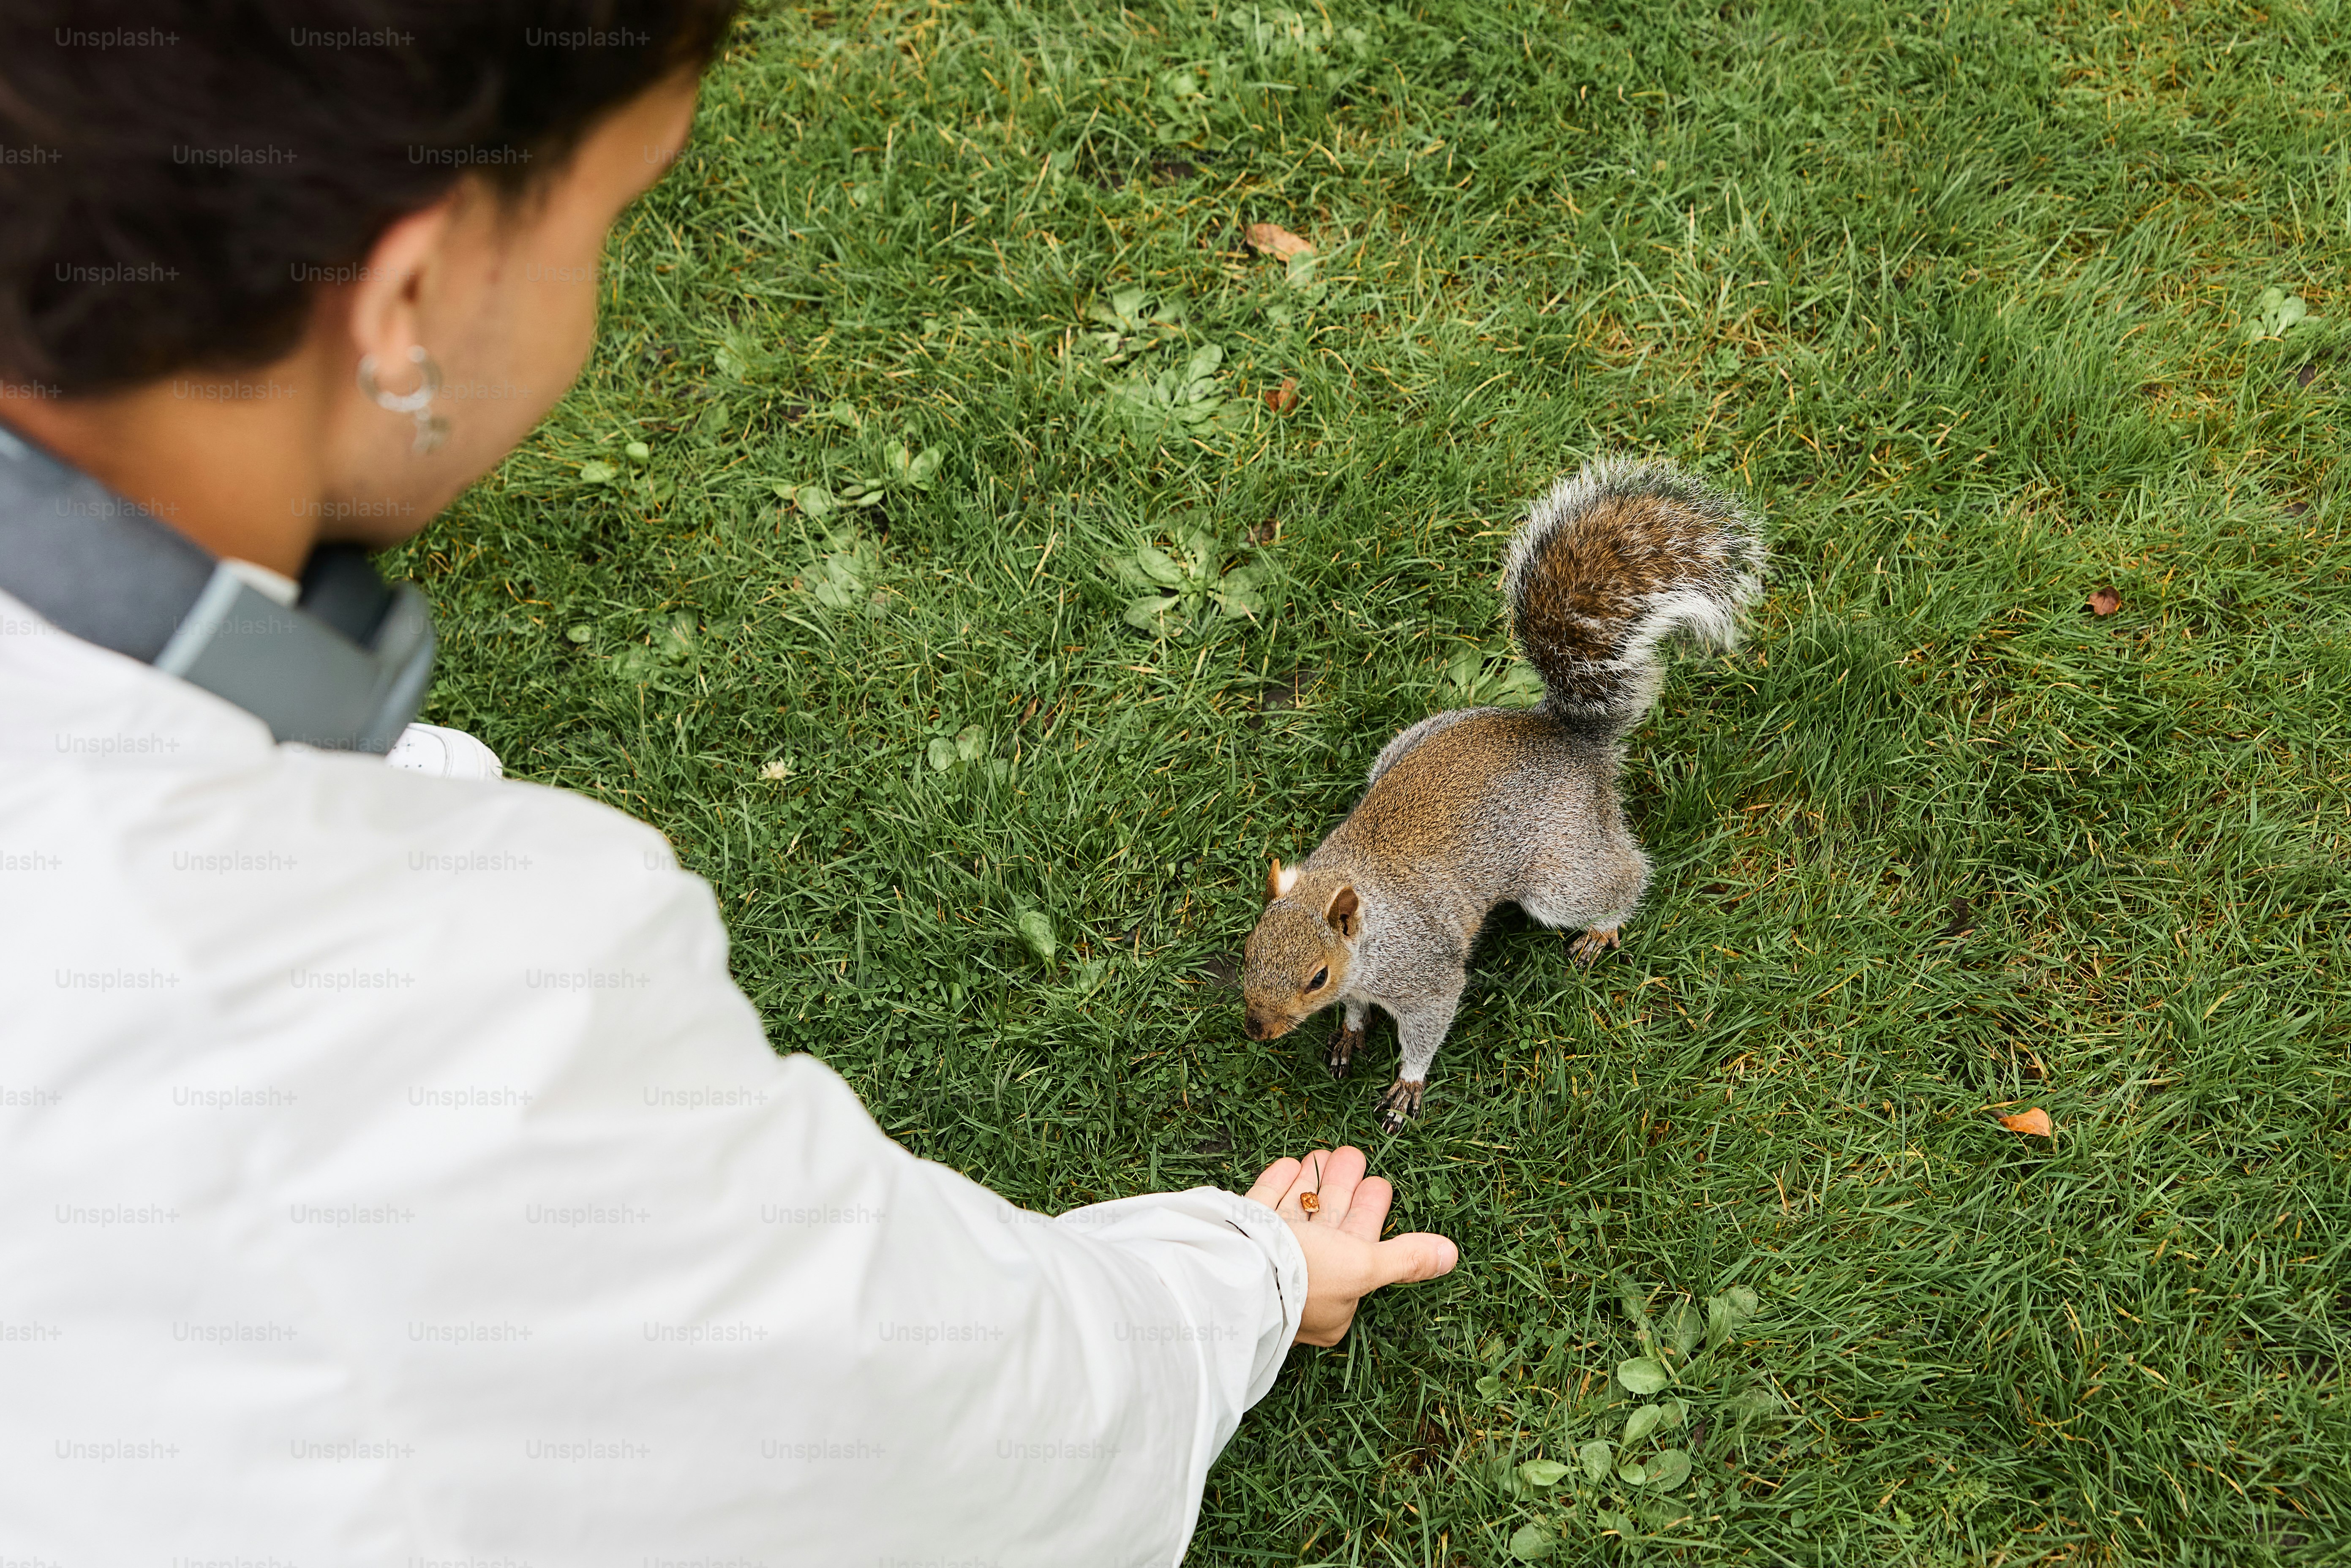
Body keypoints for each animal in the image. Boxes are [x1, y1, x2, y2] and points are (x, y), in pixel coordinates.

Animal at [1240, 457, 1765, 1131]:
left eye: (1316, 977)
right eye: (1250, 950)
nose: (1257, 1029)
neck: (1366, 924)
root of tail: (1566, 736)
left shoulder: (1425, 972)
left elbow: (1427, 1024)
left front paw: (1407, 1084)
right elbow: (1357, 1011)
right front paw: (1351, 1034)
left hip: (1558, 874)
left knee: (1621, 877)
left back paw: (1604, 929)